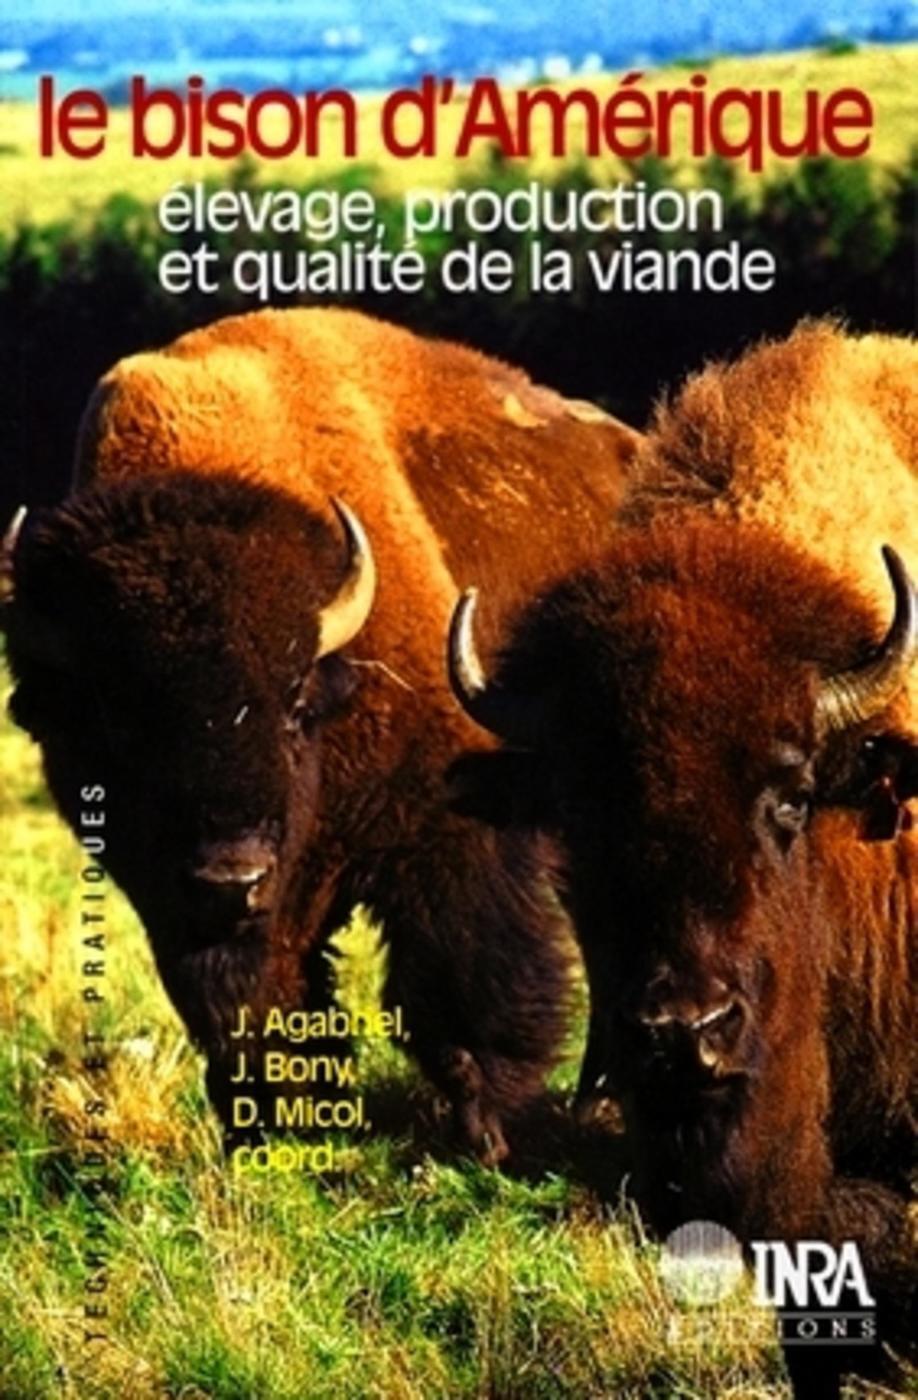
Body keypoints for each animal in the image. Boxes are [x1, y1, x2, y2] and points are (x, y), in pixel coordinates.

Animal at [2, 306, 640, 1162]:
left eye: (294, 700)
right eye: (118, 719)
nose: (231, 877)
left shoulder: (451, 825)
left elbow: (463, 976)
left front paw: (490, 1134)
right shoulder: (183, 902)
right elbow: (253, 1004)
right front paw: (272, 1123)